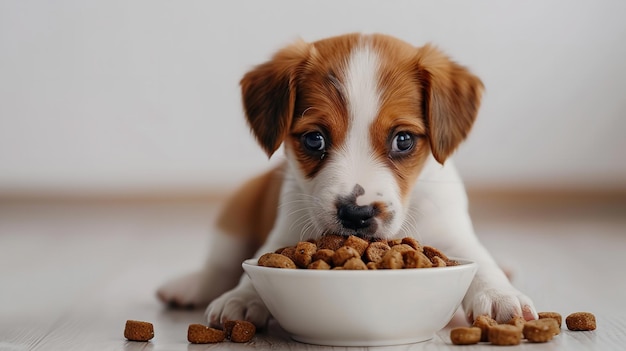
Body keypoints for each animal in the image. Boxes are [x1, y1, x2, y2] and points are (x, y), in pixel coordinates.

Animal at [157, 33, 536, 330]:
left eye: (403, 140)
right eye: (314, 139)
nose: (356, 214)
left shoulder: (452, 232)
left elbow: (480, 260)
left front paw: (501, 294)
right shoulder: (284, 234)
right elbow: (258, 264)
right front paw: (242, 296)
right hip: (237, 209)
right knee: (217, 266)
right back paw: (188, 286)